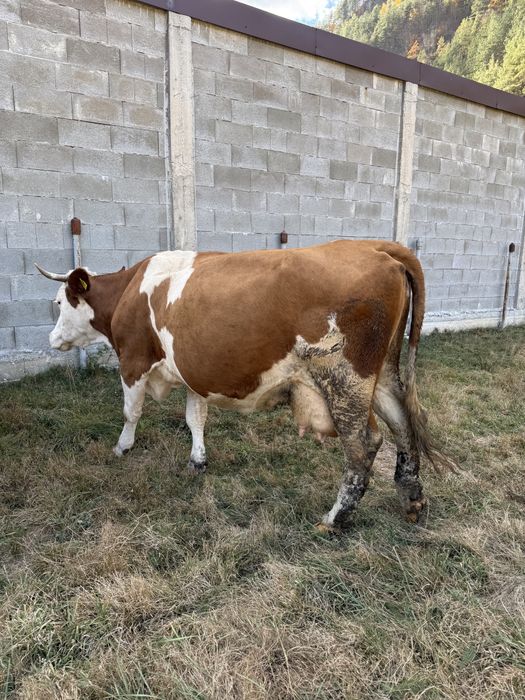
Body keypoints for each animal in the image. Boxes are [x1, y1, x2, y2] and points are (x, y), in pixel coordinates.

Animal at [36, 240, 436, 531]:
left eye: (58, 302)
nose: (52, 339)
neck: (129, 292)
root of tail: (374, 246)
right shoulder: (193, 373)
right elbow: (195, 418)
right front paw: (197, 461)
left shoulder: (133, 362)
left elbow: (131, 411)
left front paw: (122, 447)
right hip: (383, 375)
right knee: (403, 425)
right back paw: (413, 500)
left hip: (344, 378)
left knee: (363, 445)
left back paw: (334, 518)